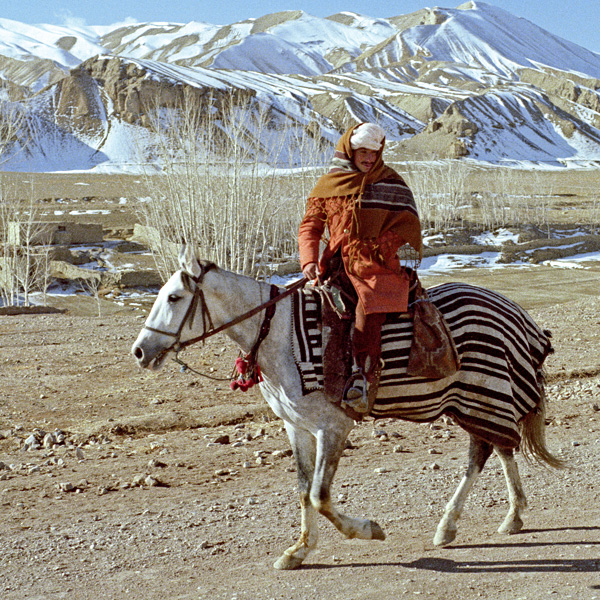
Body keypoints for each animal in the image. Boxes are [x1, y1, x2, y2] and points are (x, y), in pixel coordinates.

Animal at [131, 246, 564, 568]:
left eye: (174, 297)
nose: (140, 352)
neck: (278, 335)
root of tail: (513, 311)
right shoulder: (298, 427)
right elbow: (303, 490)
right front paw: (299, 550)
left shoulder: (333, 428)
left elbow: (320, 495)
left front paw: (369, 530)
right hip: (474, 398)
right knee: (495, 448)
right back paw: (499, 518)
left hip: (483, 392)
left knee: (487, 449)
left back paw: (469, 522)